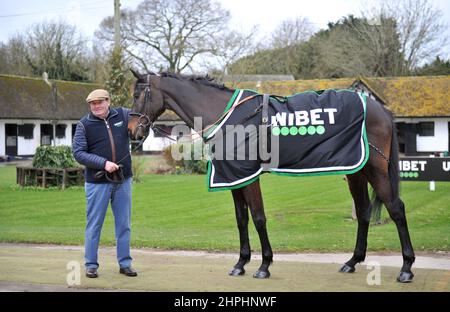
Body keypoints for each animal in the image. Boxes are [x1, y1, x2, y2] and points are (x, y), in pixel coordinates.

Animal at [126, 69, 414, 282]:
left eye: (139, 94)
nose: (131, 130)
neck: (230, 117)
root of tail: (380, 109)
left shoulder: (249, 176)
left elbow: (258, 218)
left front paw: (264, 265)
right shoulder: (234, 177)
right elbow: (241, 219)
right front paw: (240, 263)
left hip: (376, 169)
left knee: (396, 208)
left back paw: (406, 268)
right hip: (357, 171)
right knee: (364, 211)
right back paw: (352, 261)